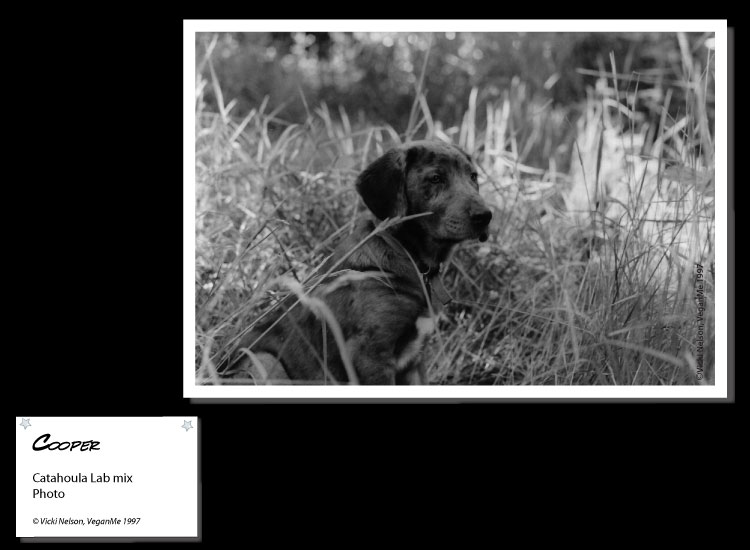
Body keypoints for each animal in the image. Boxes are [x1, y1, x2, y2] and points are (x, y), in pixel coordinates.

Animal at [223, 140, 494, 386]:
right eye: (436, 178)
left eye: (473, 176)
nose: (485, 216)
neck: (409, 257)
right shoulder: (370, 355)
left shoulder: (414, 361)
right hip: (264, 361)